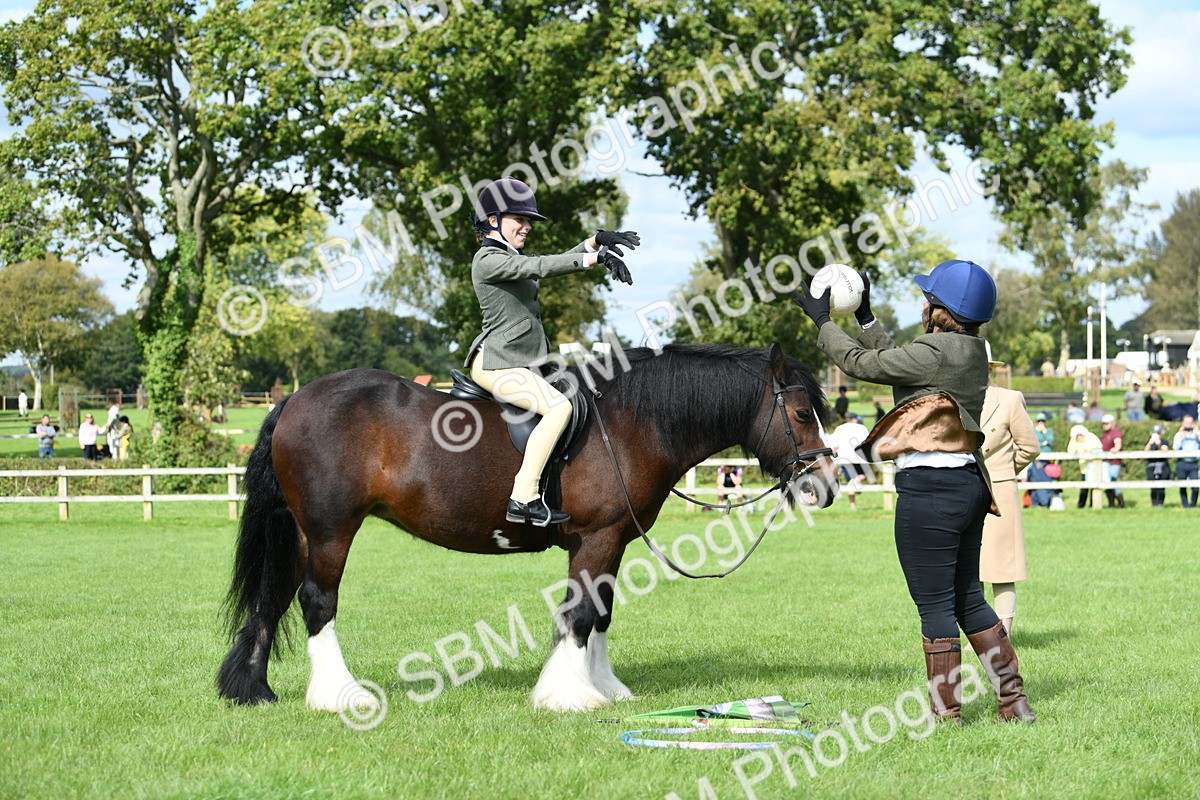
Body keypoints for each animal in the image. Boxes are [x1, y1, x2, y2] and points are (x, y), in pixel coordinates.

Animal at [217, 343, 838, 713]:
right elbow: (580, 615)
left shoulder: (613, 542)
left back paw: (253, 690)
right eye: (801, 414)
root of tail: (295, 399)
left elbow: (601, 613)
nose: (825, 485)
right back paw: (338, 695)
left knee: (273, 598)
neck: (628, 424)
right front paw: (568, 695)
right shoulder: (595, 539)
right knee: (317, 601)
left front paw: (604, 687)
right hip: (330, 531)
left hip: (302, 532)